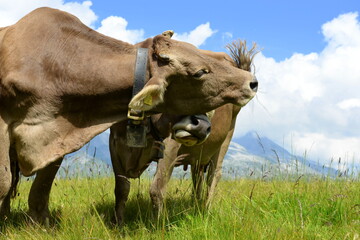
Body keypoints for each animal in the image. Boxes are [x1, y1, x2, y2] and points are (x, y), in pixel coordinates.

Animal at [1, 7, 258, 223]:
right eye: (199, 72)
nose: (252, 82)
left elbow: (156, 189)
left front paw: (158, 226)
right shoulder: (107, 143)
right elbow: (121, 188)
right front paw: (119, 224)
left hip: (224, 142)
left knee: (214, 176)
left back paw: (204, 210)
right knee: (198, 178)